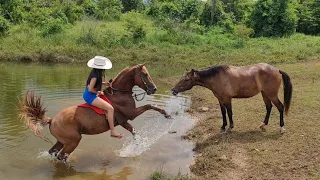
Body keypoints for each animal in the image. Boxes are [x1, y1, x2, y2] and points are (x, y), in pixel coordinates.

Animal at [19, 64, 170, 162]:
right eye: (145, 74)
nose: (154, 89)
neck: (119, 93)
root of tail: (52, 120)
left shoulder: (124, 121)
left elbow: (134, 132)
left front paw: (136, 147)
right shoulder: (130, 115)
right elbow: (149, 106)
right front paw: (166, 114)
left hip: (61, 141)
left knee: (54, 153)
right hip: (73, 141)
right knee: (61, 156)